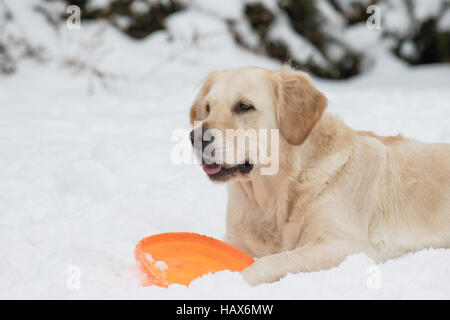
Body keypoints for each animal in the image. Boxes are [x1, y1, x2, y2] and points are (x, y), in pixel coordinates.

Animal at [188, 65, 448, 284]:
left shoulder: (341, 244)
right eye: (208, 108)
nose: (196, 137)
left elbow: (271, 262)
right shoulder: (236, 240)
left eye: (244, 106)